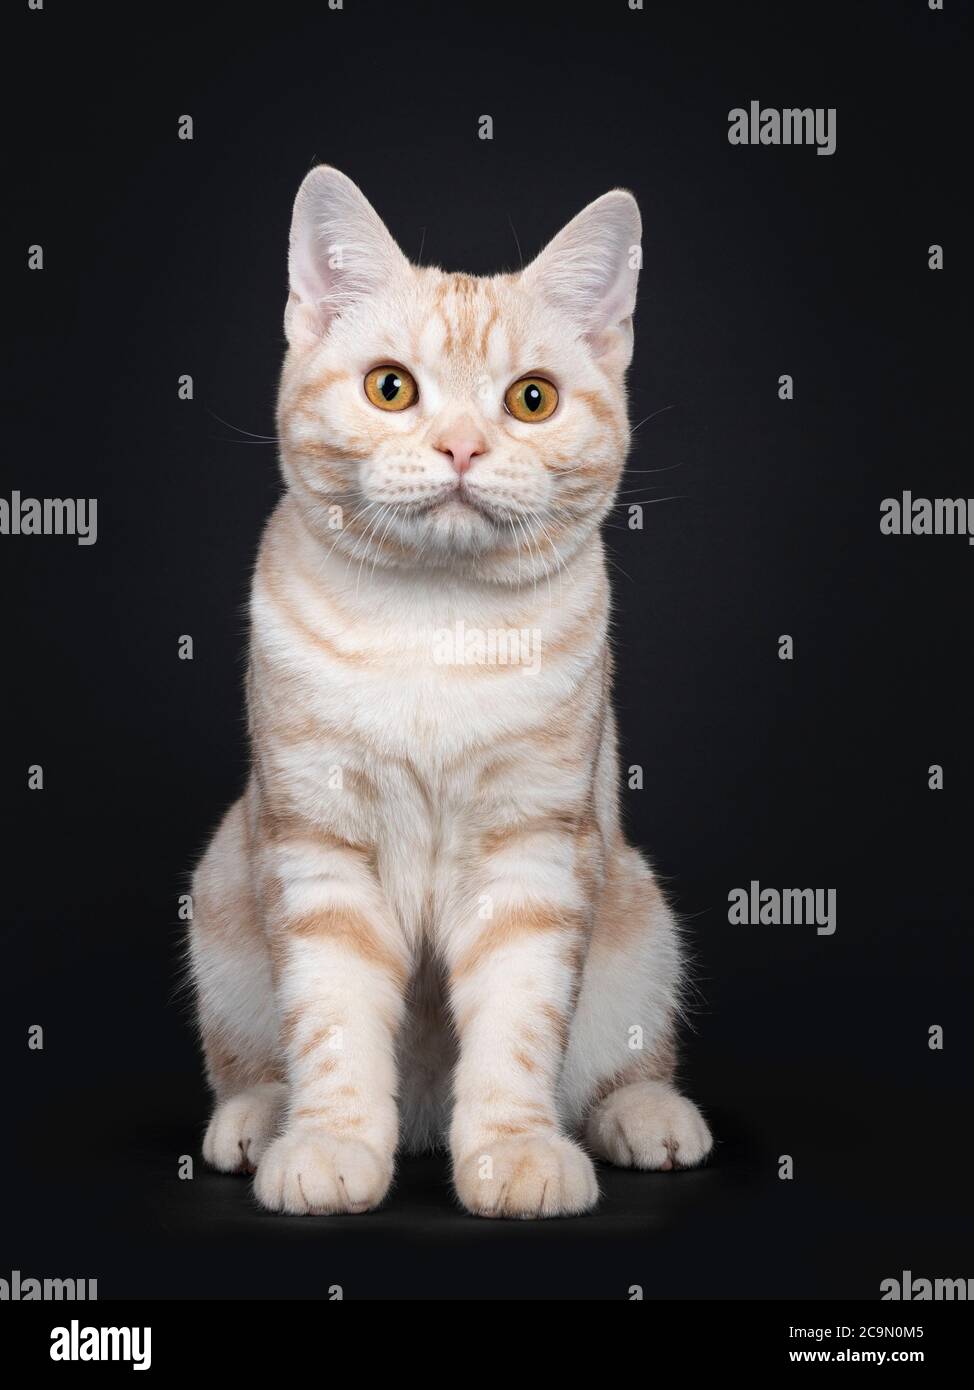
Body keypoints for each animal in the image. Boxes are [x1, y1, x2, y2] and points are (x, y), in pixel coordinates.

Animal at [186, 165, 711, 1217]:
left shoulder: (535, 851)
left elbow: (519, 1025)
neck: (436, 625)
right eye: (391, 388)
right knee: (249, 1061)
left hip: (641, 918)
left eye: (532, 399)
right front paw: (331, 1144)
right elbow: (331, 1021)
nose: (463, 448)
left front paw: (515, 1153)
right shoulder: (318, 847)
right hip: (222, 890)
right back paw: (259, 1120)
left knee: (623, 1063)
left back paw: (647, 1117)